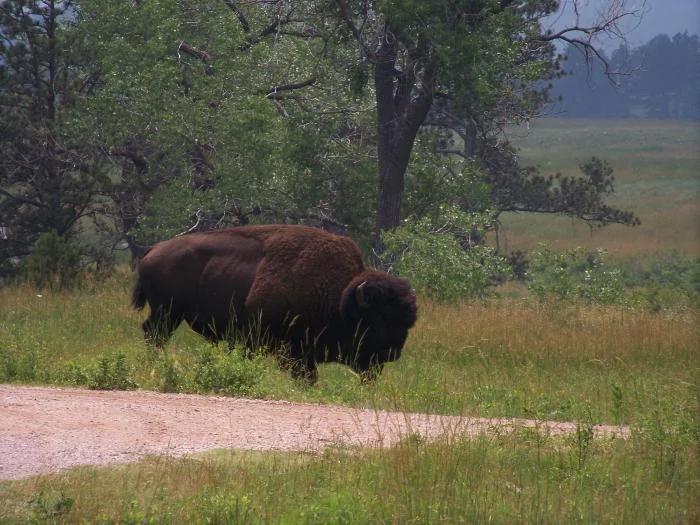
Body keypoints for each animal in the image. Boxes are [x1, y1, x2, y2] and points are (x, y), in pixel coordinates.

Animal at [131, 224, 416, 380]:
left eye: (407, 322)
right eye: (380, 318)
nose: (394, 353)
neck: (339, 296)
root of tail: (152, 250)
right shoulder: (283, 347)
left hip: (169, 314)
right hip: (167, 312)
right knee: (155, 334)